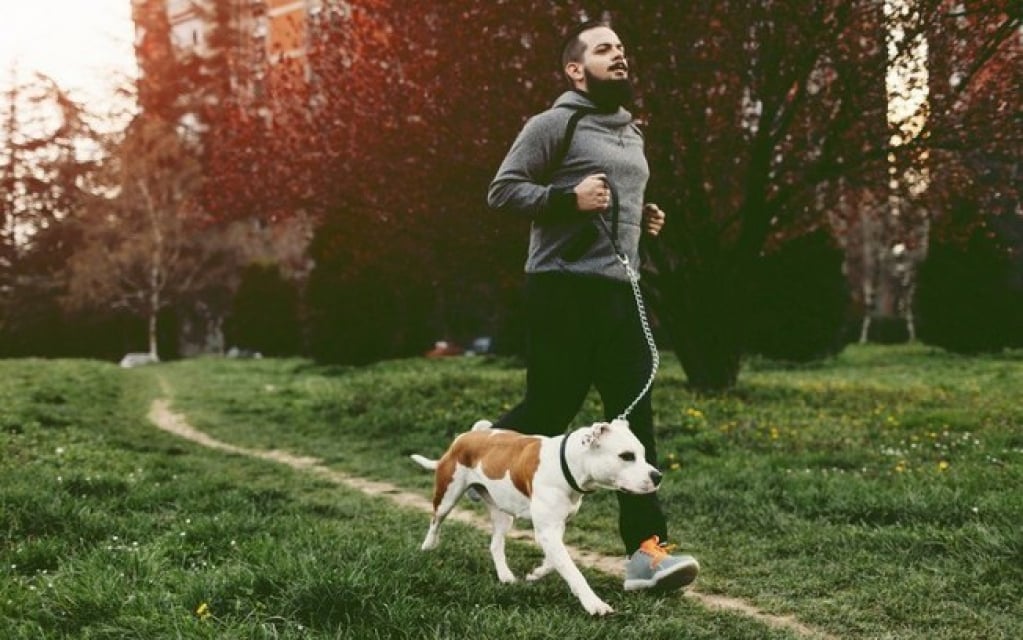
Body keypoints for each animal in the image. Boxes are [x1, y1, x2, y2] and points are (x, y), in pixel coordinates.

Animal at [409, 417, 662, 617]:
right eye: (626, 456)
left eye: (642, 454)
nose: (657, 476)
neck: (567, 465)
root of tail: (465, 436)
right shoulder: (547, 531)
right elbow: (573, 571)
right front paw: (594, 603)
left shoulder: (554, 528)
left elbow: (555, 561)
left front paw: (536, 573)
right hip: (447, 495)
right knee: (435, 520)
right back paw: (428, 547)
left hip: (503, 514)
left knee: (495, 545)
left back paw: (505, 576)